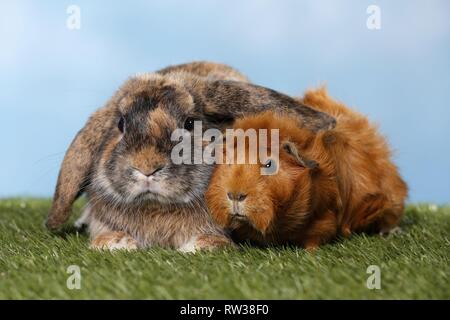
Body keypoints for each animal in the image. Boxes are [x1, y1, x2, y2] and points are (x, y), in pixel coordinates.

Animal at [45, 61, 336, 251]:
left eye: (189, 124)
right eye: (120, 123)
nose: (147, 167)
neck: (157, 209)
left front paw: (202, 245)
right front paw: (115, 242)